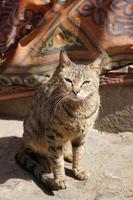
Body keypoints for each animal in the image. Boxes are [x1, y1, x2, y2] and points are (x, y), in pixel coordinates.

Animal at [15, 50, 105, 190]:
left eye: (86, 82)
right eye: (68, 80)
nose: (76, 91)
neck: (79, 110)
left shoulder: (82, 136)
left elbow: (79, 154)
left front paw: (78, 170)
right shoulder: (53, 136)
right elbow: (57, 160)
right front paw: (60, 178)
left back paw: (68, 155)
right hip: (33, 132)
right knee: (38, 152)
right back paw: (46, 163)